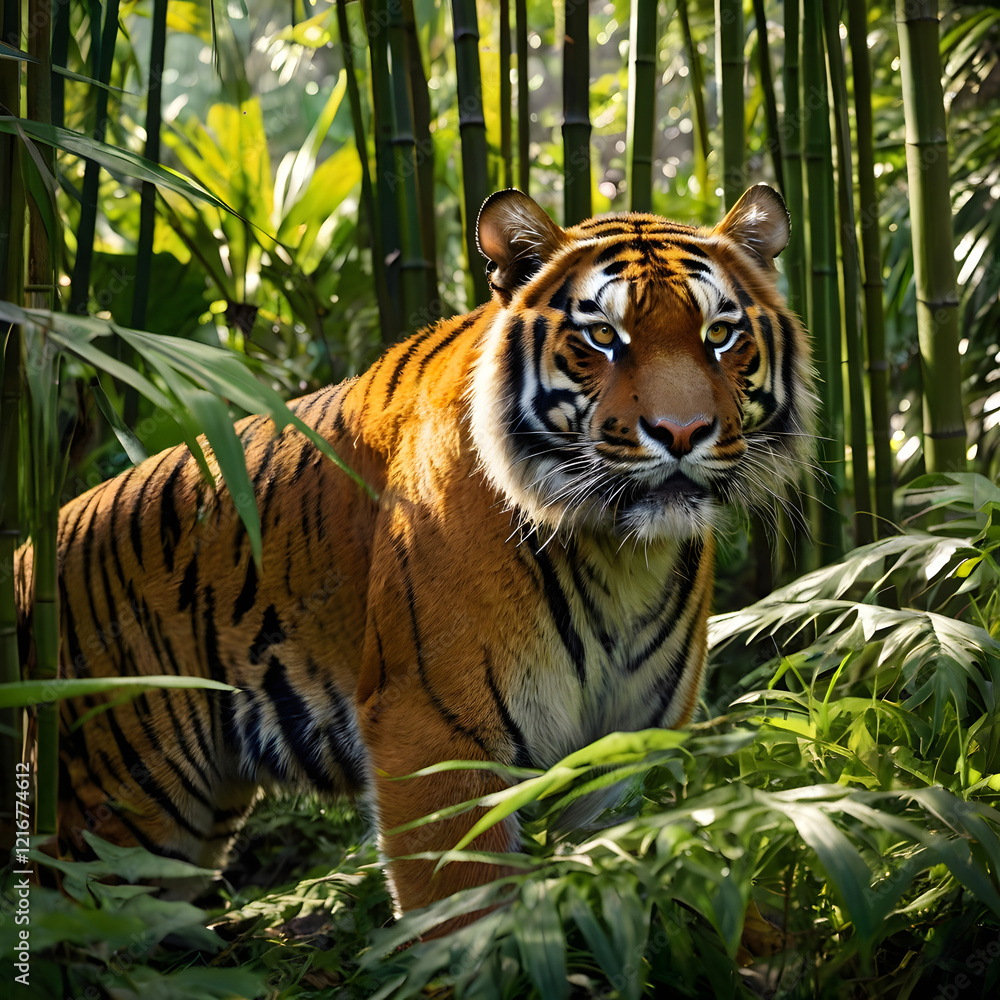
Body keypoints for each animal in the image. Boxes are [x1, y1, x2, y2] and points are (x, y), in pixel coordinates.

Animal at [15, 184, 813, 920]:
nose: (682, 432)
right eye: (602, 338)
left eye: (719, 334)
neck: (619, 556)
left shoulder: (629, 746)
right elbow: (464, 917)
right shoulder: (431, 736)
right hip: (115, 816)